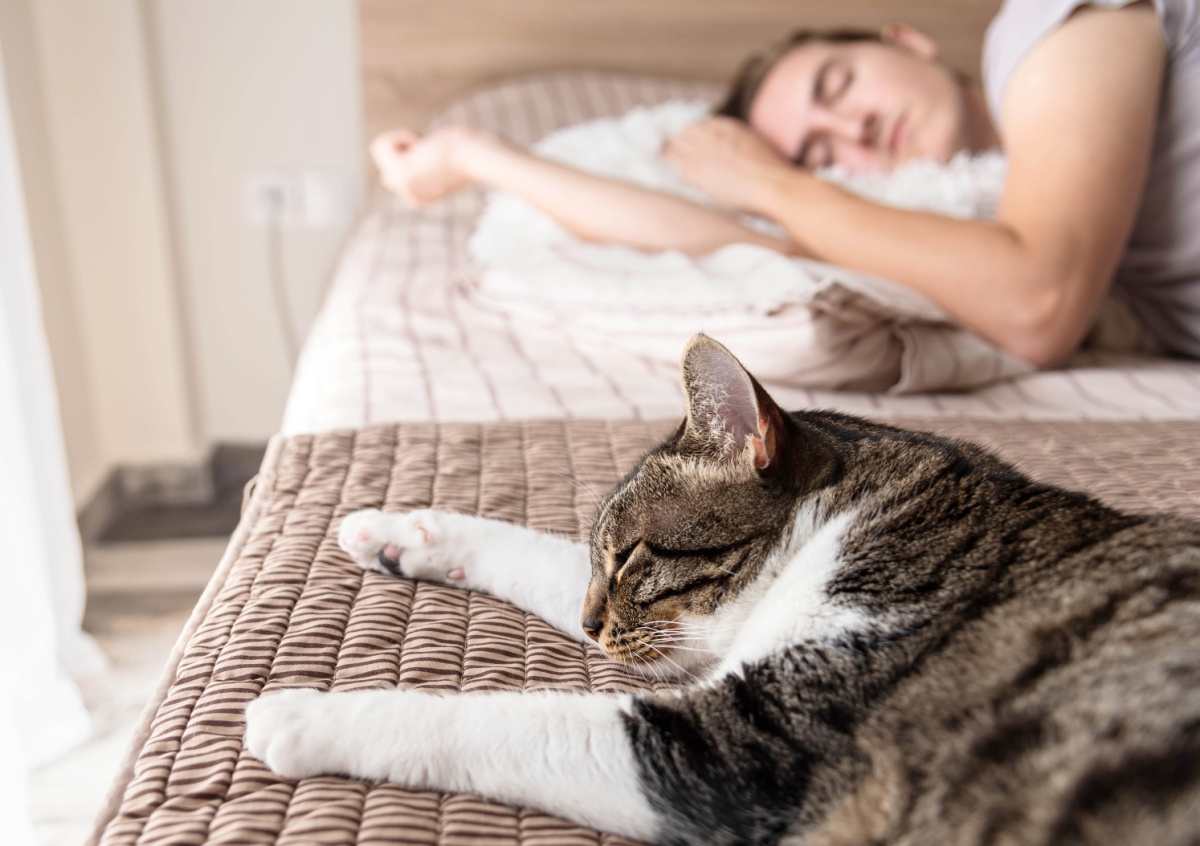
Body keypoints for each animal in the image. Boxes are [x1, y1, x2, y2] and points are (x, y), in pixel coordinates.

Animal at [245, 334, 1200, 846]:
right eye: (599, 560)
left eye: (633, 559)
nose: (591, 626)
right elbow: (530, 551)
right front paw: (402, 531)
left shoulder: (741, 744)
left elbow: (489, 721)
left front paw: (300, 713)